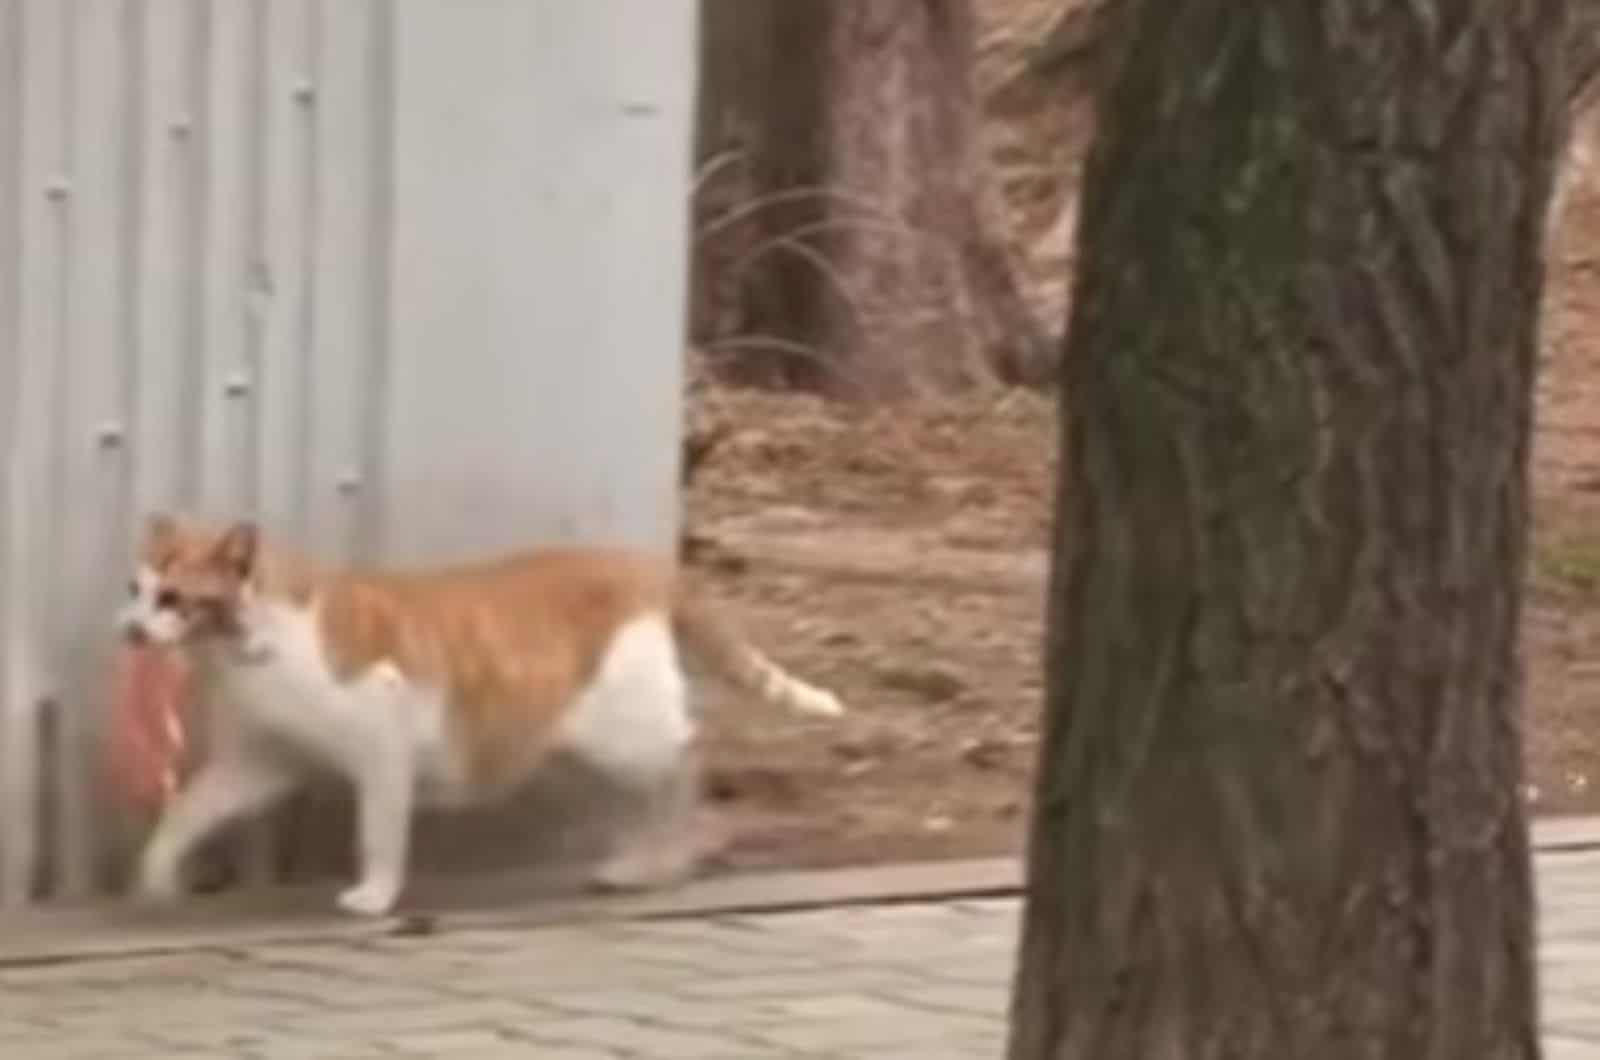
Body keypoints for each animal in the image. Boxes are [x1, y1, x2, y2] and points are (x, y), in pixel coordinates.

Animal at [116, 512, 844, 915]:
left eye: (173, 599)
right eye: (136, 589)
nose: (128, 628)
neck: (247, 644)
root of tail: (646, 565)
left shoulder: (383, 747)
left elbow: (379, 832)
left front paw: (375, 896)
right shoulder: (262, 761)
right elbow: (185, 814)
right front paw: (154, 880)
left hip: (626, 736)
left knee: (688, 757)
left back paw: (670, 857)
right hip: (582, 747)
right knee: (648, 792)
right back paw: (636, 867)